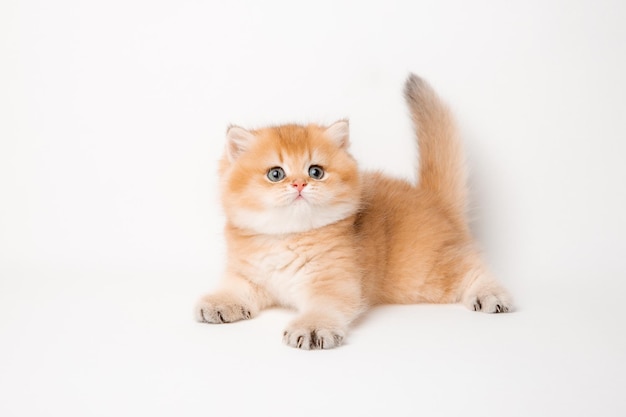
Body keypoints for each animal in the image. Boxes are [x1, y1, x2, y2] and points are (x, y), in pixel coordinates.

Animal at [195, 74, 512, 348]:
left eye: (316, 171)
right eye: (276, 174)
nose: (299, 183)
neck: (285, 238)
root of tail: (433, 199)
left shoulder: (334, 282)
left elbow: (324, 307)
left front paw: (312, 327)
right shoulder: (247, 276)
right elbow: (234, 288)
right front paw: (219, 303)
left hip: (427, 273)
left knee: (473, 266)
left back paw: (491, 293)